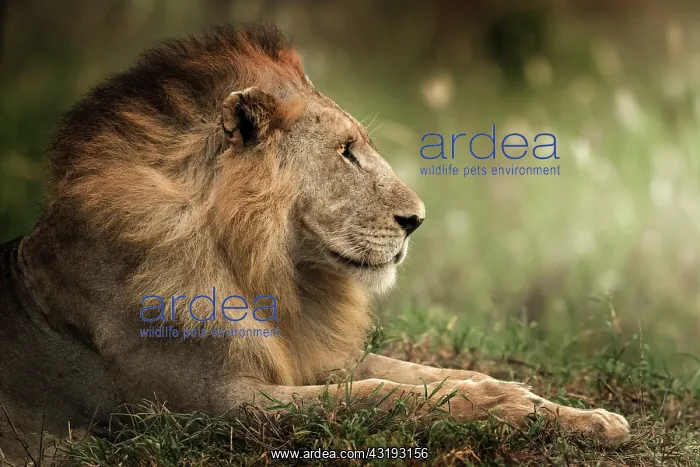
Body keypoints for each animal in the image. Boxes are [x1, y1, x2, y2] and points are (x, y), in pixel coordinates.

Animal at [0, 24, 629, 463]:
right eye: (346, 151)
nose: (417, 220)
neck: (263, 271)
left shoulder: (308, 357)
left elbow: (417, 373)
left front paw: (570, 413)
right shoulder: (208, 407)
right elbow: (377, 395)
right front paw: (505, 406)